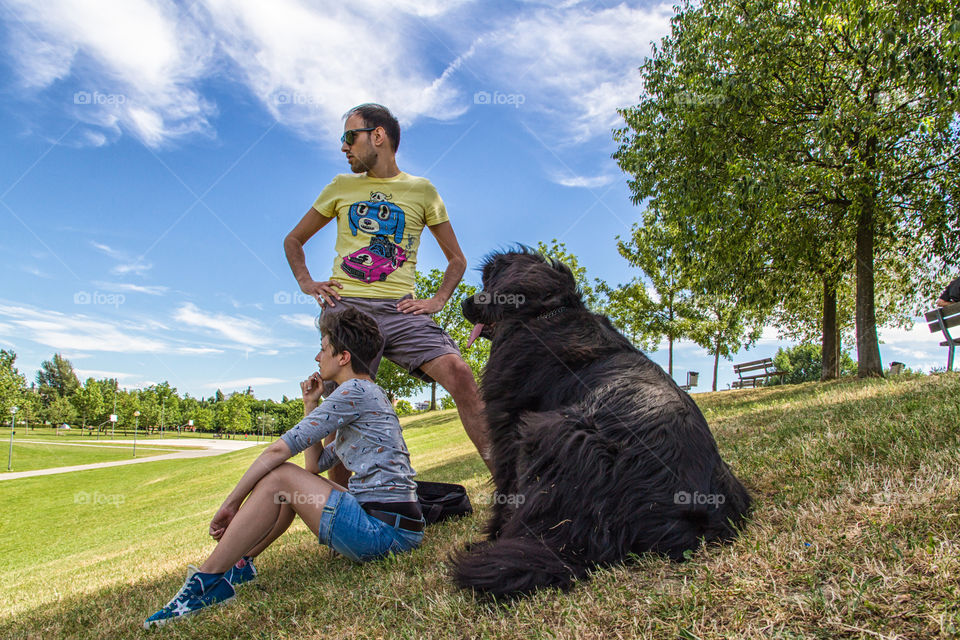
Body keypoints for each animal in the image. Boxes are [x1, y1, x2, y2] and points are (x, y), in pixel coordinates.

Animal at [454, 249, 752, 596]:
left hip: (554, 432)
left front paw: (492, 534)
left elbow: (504, 487)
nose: (463, 303)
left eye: (489, 282)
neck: (544, 312)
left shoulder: (506, 425)